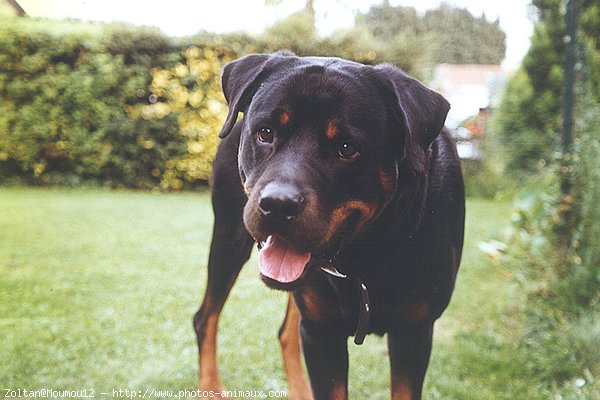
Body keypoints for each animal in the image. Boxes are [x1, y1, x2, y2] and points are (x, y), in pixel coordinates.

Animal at [195, 51, 466, 398]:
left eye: (347, 148)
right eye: (266, 133)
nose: (278, 204)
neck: (368, 253)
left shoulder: (415, 331)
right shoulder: (322, 331)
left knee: (284, 332)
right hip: (230, 237)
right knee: (206, 318)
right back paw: (211, 387)